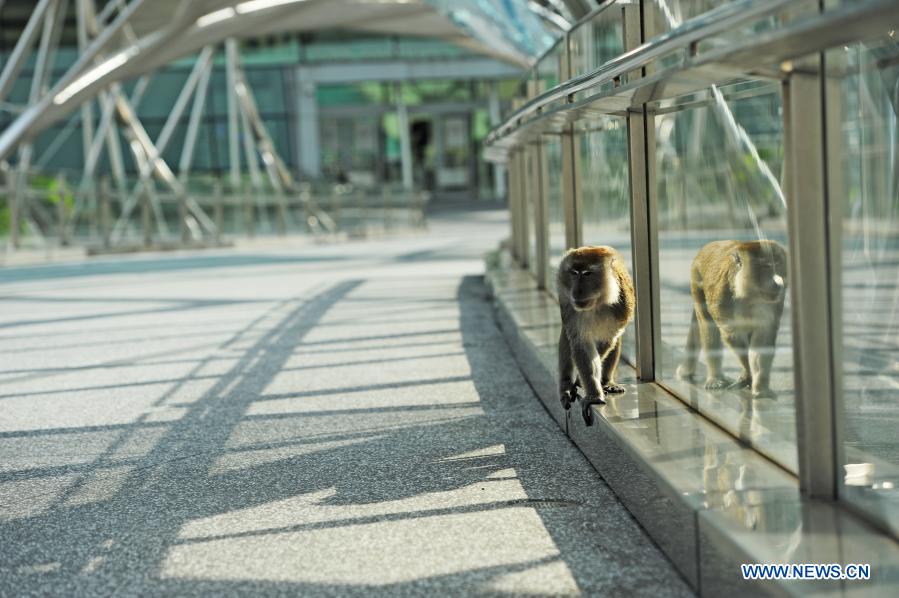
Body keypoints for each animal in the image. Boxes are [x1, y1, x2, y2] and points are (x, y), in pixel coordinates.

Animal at [557, 246, 635, 426]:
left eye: (587, 274)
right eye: (573, 273)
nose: (577, 290)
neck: (597, 304)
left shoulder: (621, 308)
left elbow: (608, 340)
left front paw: (584, 385)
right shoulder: (569, 307)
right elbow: (581, 344)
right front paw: (592, 394)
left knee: (615, 342)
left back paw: (607, 382)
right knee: (566, 338)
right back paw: (565, 384)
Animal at [676, 240, 788, 399]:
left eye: (777, 264)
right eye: (766, 267)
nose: (778, 282)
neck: (749, 295)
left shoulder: (774, 303)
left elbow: (763, 338)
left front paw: (760, 387)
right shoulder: (722, 297)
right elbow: (732, 335)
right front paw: (748, 375)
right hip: (696, 280)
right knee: (709, 328)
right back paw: (715, 378)